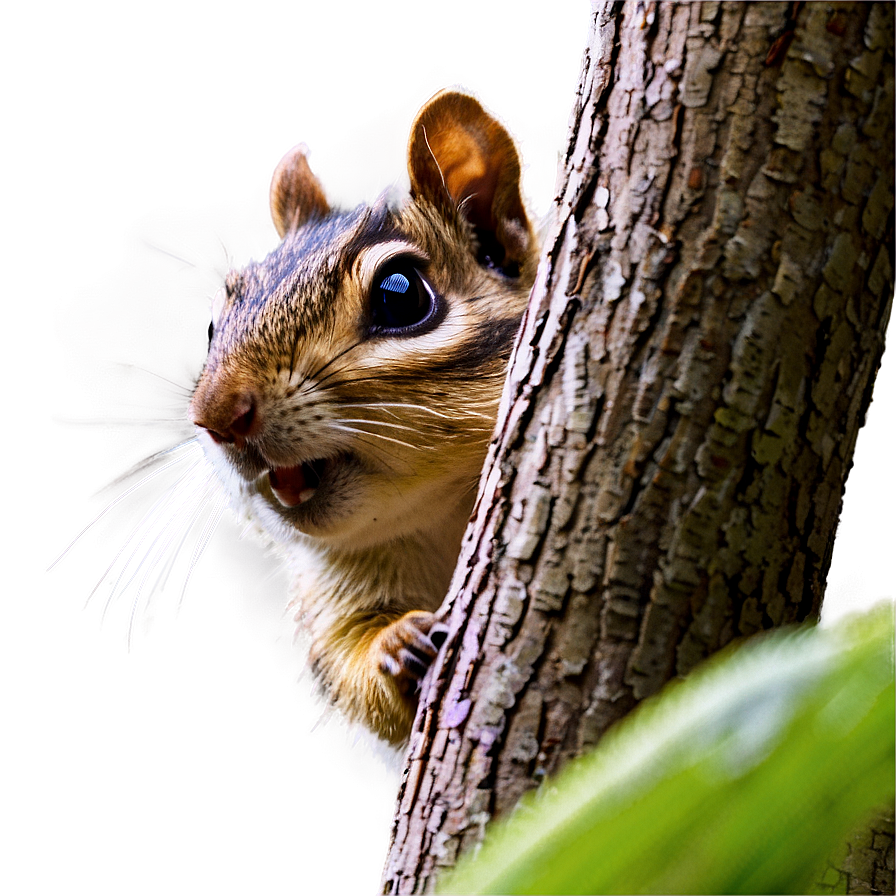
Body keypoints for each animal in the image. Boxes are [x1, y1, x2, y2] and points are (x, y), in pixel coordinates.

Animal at [76, 88, 538, 767]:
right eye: (212, 328)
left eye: (400, 293)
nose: (215, 417)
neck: (434, 516)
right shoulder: (335, 599)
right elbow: (360, 684)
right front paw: (393, 643)